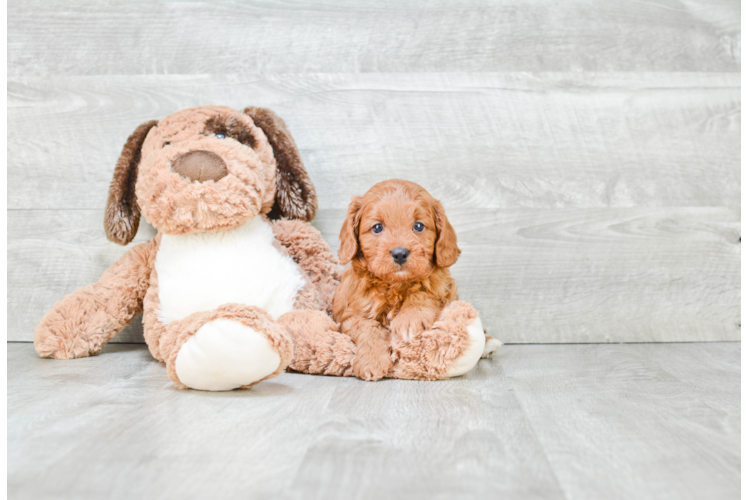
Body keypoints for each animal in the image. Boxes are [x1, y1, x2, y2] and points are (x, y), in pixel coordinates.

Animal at [332, 179, 496, 378]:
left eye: (418, 226)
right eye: (377, 227)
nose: (400, 253)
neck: (395, 285)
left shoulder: (443, 287)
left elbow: (424, 292)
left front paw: (409, 319)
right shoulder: (348, 313)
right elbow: (366, 327)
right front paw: (371, 360)